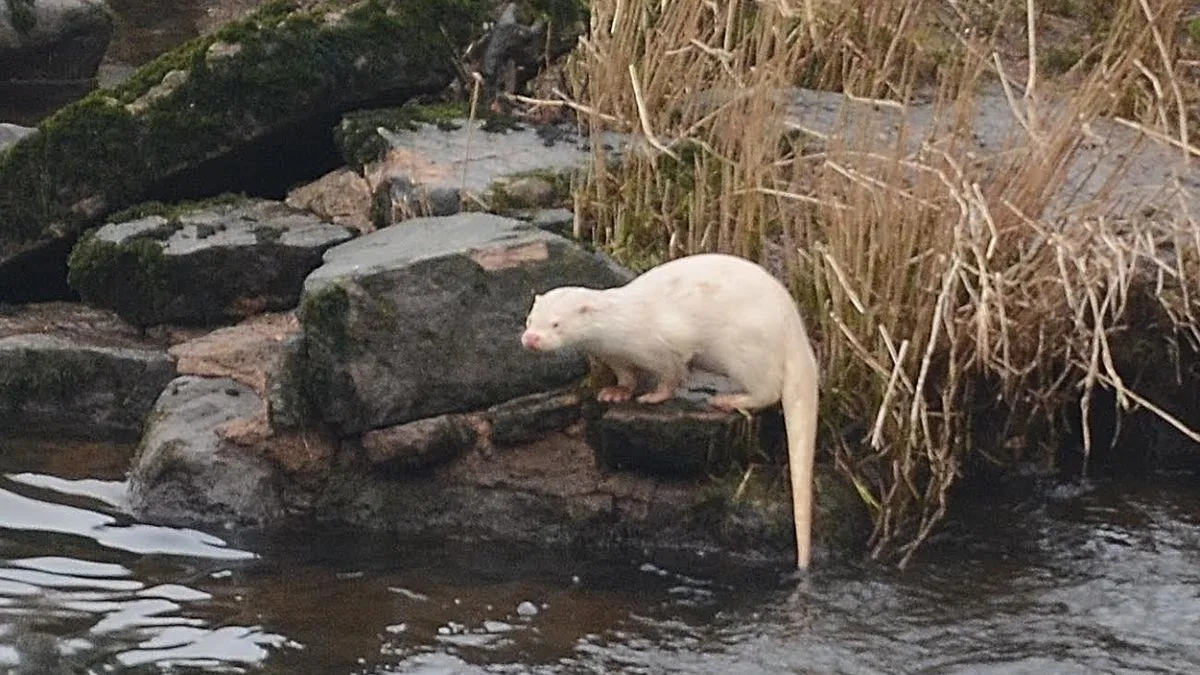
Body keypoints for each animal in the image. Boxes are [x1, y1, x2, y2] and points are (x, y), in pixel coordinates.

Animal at [521, 253, 820, 570]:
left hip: (747, 350)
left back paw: (726, 399)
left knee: (768, 389)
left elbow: (671, 374)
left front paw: (653, 396)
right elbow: (626, 376)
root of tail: (794, 329)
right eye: (530, 319)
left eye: (556, 324)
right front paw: (615, 392)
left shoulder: (665, 346)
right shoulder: (615, 356)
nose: (531, 339)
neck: (622, 328)